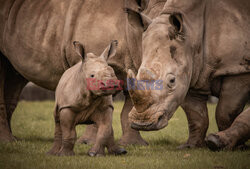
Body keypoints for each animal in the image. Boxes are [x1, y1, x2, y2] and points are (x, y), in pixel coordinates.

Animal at [0, 0, 167, 144]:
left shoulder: (132, 64)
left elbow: (129, 104)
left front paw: (133, 144)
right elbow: (97, 99)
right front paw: (88, 142)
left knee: (14, 74)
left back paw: (14, 140)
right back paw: (8, 141)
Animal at [126, 0, 250, 147]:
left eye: (172, 81)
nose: (142, 123)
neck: (191, 31)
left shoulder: (237, 69)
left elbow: (225, 112)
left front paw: (232, 146)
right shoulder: (191, 73)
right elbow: (196, 115)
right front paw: (191, 146)